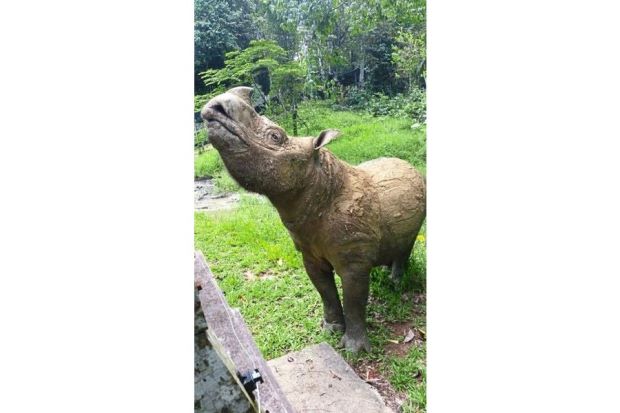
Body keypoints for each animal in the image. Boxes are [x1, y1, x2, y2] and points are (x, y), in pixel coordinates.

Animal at [201, 87, 424, 350]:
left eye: (275, 136)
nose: (215, 107)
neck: (320, 183)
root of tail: (410, 165)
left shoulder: (353, 259)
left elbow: (354, 300)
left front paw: (354, 349)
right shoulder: (308, 250)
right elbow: (324, 291)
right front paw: (330, 330)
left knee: (407, 244)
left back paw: (395, 283)